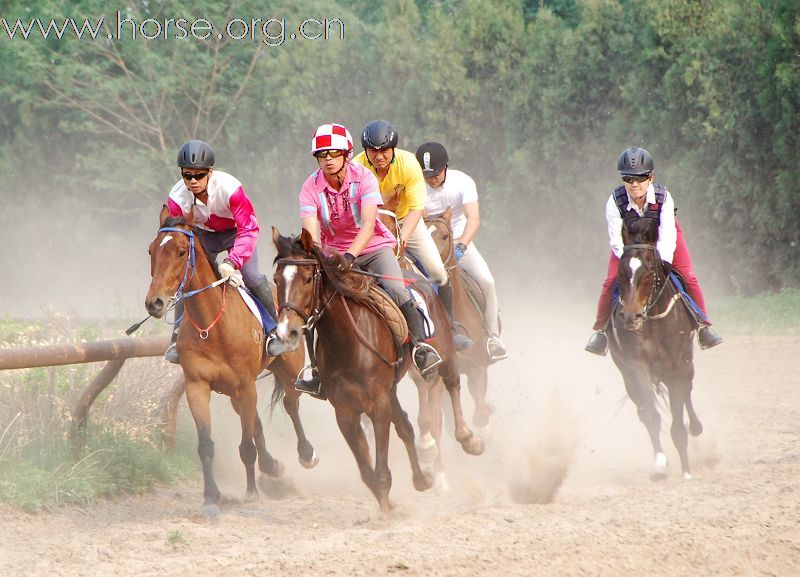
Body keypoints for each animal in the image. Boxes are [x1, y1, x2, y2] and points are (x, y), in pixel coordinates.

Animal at [145, 205, 318, 516]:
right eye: (151, 250)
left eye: (180, 251)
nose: (155, 302)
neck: (212, 325)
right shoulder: (198, 386)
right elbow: (206, 444)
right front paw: (211, 498)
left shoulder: (246, 385)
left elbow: (246, 445)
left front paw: (250, 492)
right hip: (234, 391)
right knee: (257, 421)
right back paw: (271, 466)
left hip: (286, 370)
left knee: (290, 404)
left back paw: (305, 453)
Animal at [272, 227, 482, 510]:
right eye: (276, 280)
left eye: (307, 278)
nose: (287, 331)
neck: (347, 343)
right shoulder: (345, 411)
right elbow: (366, 471)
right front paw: (389, 507)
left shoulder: (378, 404)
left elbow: (380, 470)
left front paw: (389, 512)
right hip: (391, 389)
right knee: (405, 425)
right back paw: (423, 479)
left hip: (445, 356)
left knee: (452, 383)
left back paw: (470, 440)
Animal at [608, 218, 704, 480]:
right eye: (621, 272)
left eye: (649, 271)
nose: (630, 317)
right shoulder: (636, 366)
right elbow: (651, 414)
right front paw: (660, 463)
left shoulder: (677, 367)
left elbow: (678, 421)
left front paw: (686, 471)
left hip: (686, 367)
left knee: (688, 394)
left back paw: (696, 427)